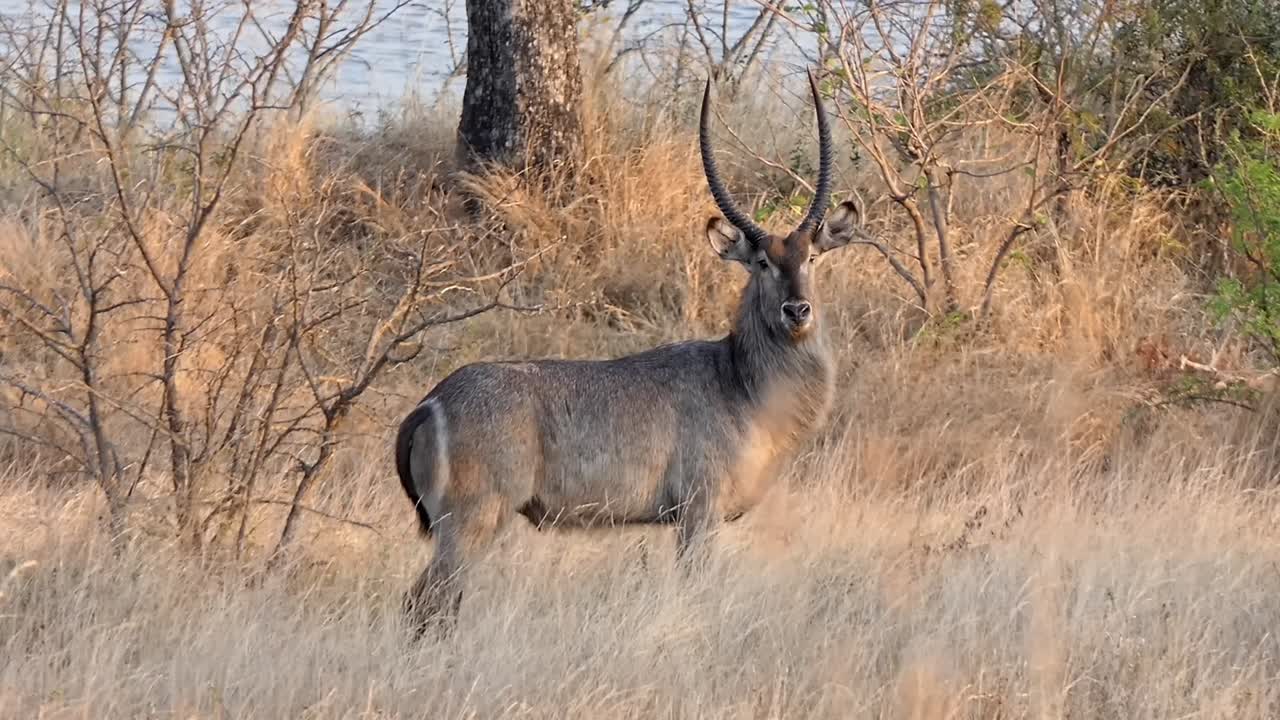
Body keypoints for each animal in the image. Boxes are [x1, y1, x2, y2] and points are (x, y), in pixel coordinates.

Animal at [396, 70, 869, 636]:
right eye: (761, 262)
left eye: (812, 257)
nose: (797, 311)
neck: (741, 384)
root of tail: (431, 402)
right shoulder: (698, 512)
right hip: (470, 521)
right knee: (425, 602)